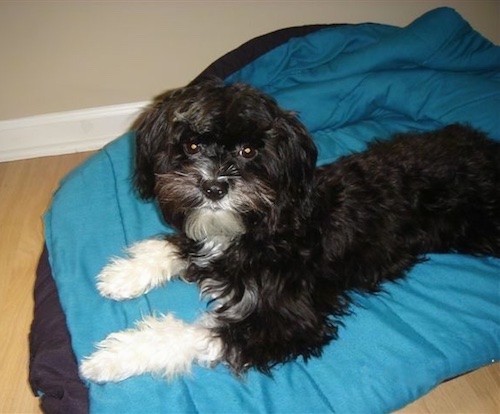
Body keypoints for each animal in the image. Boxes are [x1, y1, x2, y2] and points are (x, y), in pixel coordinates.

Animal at [80, 79, 500, 384]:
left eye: (249, 151)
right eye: (193, 145)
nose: (213, 187)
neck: (269, 222)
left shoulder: (292, 320)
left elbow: (197, 332)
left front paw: (112, 357)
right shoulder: (208, 237)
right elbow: (176, 244)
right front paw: (121, 275)